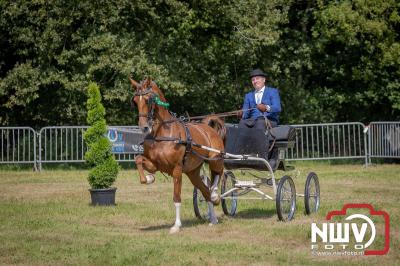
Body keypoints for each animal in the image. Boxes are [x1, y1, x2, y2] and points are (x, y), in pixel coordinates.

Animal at [130, 76, 225, 233]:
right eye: (135, 101)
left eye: (149, 100)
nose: (144, 127)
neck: (162, 133)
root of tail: (207, 128)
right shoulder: (155, 164)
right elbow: (138, 159)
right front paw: (148, 178)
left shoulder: (177, 169)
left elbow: (176, 197)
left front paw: (176, 225)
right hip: (193, 173)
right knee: (205, 191)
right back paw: (213, 219)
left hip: (215, 159)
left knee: (218, 175)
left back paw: (215, 195)